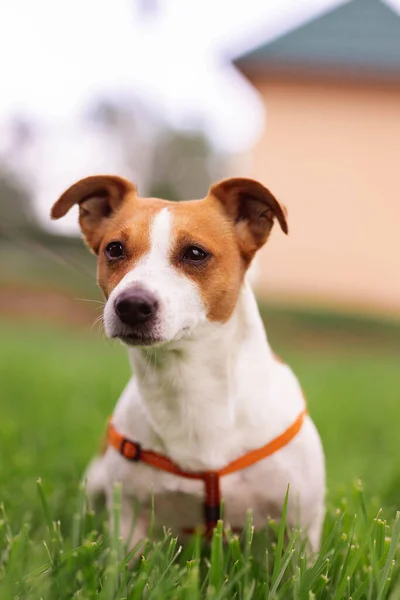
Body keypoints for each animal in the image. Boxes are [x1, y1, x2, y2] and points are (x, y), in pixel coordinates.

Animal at [50, 175, 324, 552]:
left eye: (195, 253)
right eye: (114, 249)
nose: (131, 305)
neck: (188, 385)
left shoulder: (301, 525)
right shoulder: (130, 522)